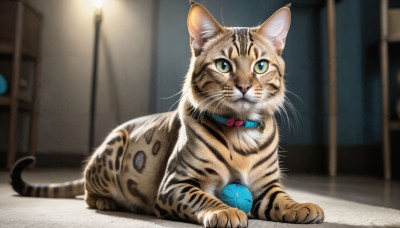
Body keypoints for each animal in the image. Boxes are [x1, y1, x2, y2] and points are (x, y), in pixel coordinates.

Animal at [10, 1, 324, 226]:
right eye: (223, 65)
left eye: (261, 66)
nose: (245, 86)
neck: (239, 131)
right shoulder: (176, 183)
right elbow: (205, 199)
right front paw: (225, 211)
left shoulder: (266, 185)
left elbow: (281, 198)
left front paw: (301, 205)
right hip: (112, 153)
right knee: (88, 190)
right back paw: (104, 200)